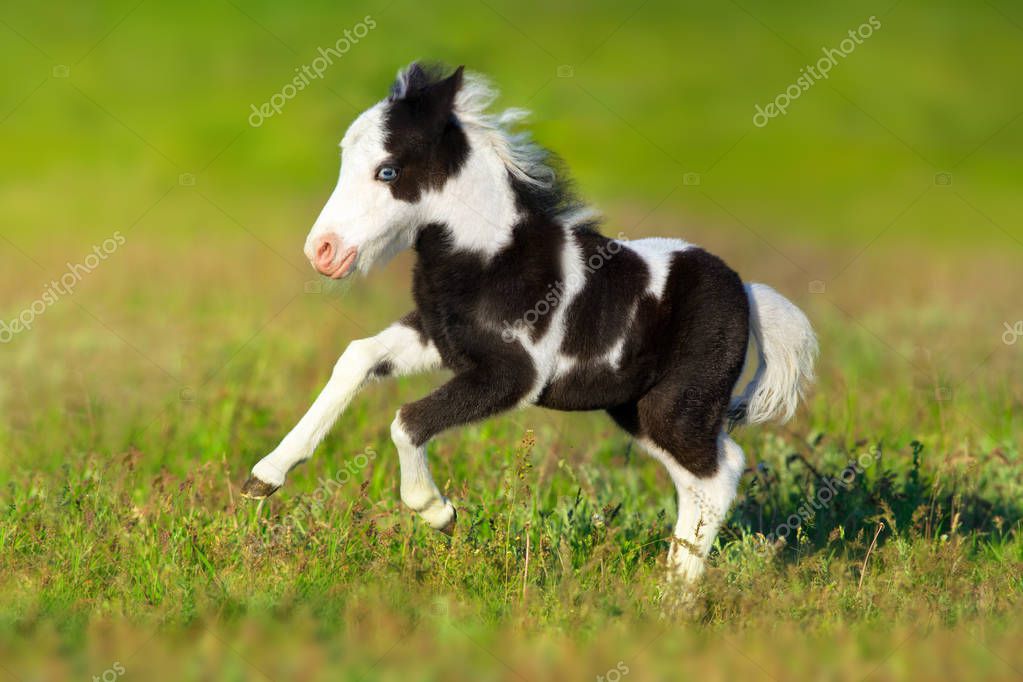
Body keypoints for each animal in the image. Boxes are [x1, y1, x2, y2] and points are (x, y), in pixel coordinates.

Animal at [241, 62, 817, 584]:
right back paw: (675, 590)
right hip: (637, 408)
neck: (490, 256)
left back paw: (673, 599)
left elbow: (406, 420)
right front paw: (265, 476)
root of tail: (746, 292)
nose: (322, 251)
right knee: (710, 473)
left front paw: (439, 512)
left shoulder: (514, 375)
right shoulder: (439, 337)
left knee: (716, 475)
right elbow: (357, 356)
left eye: (388, 171)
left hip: (677, 404)